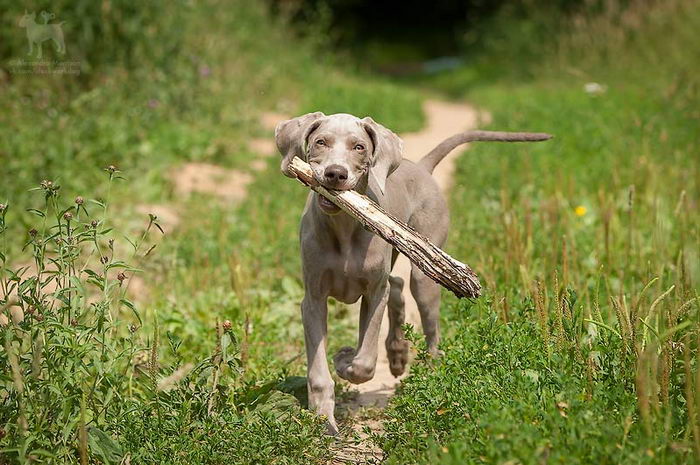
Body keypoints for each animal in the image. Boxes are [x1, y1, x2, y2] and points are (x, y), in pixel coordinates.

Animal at [276, 111, 544, 432]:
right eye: (320, 142)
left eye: (359, 147)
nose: (335, 174)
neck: (343, 225)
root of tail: (421, 166)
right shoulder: (313, 299)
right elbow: (318, 371)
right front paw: (324, 420)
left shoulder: (373, 293)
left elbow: (365, 361)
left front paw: (344, 359)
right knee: (396, 284)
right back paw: (398, 351)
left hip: (426, 268)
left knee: (427, 321)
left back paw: (427, 368)